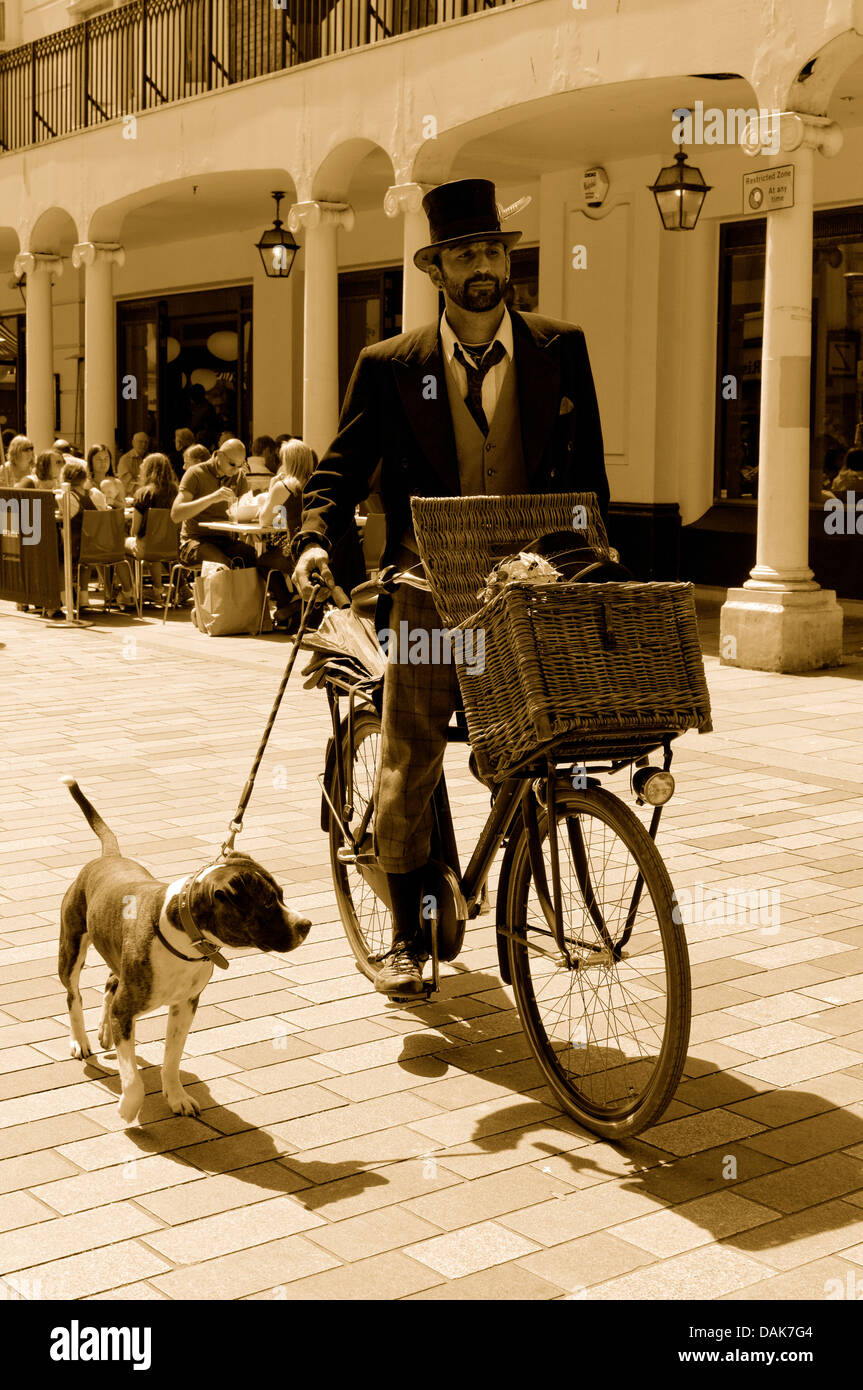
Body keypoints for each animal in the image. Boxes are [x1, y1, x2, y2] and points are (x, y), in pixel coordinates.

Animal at [59, 778, 309, 1123]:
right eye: (269, 903)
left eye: (282, 895)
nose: (306, 924)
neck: (184, 937)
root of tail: (109, 855)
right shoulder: (127, 1008)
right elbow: (132, 1076)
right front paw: (128, 1107)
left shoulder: (185, 1005)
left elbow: (172, 1058)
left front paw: (176, 1097)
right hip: (71, 947)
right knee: (74, 994)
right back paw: (80, 1040)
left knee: (110, 984)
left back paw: (105, 1031)